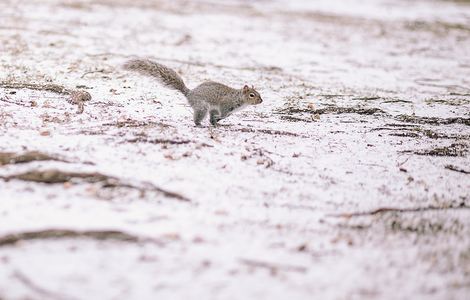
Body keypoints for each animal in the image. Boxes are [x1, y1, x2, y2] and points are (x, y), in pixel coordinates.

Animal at [123, 59, 262, 126]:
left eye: (258, 94)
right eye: (252, 95)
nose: (261, 101)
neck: (239, 99)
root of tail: (189, 94)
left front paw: (217, 122)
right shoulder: (225, 104)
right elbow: (223, 114)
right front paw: (218, 119)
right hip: (202, 106)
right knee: (198, 117)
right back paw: (199, 124)